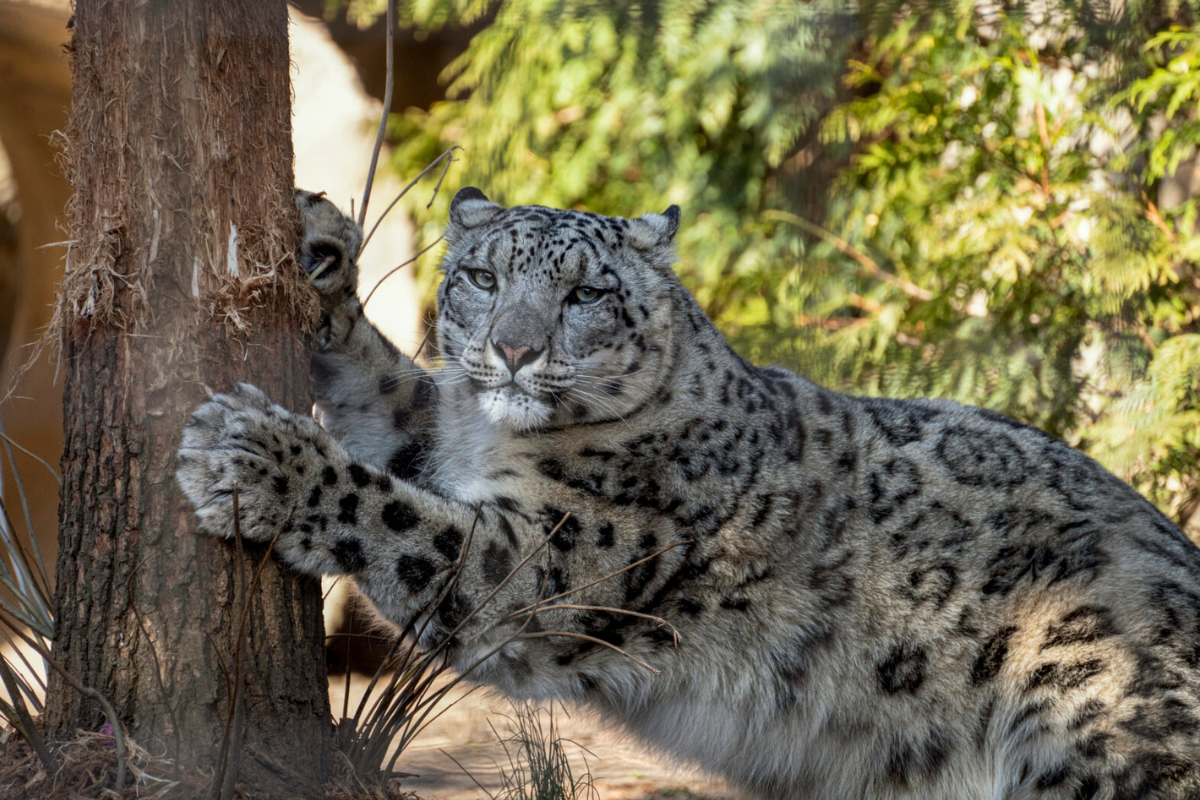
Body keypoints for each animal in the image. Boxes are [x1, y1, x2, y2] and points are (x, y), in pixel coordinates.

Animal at [177, 187, 1200, 799]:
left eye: (586, 295)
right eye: (481, 276)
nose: (513, 348)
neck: (498, 436)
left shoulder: (549, 558)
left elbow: (399, 517)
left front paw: (251, 457)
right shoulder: (439, 434)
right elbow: (387, 390)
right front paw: (319, 250)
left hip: (1090, 720)